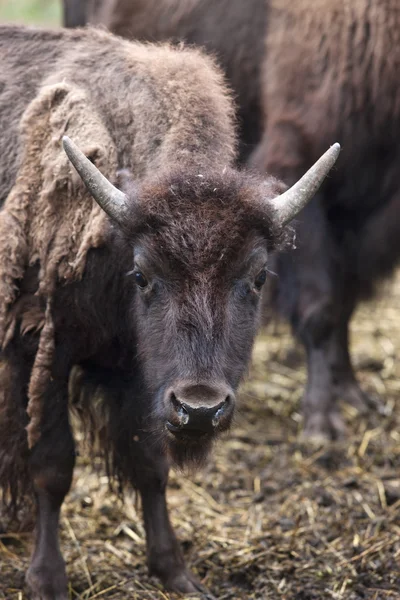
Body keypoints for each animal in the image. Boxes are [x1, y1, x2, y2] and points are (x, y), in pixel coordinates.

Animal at [0, 24, 338, 600]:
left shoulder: (145, 379)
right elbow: (53, 463)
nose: (202, 408)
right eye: (142, 274)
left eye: (257, 277)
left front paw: (175, 571)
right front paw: (47, 580)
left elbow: (151, 464)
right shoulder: (42, 349)